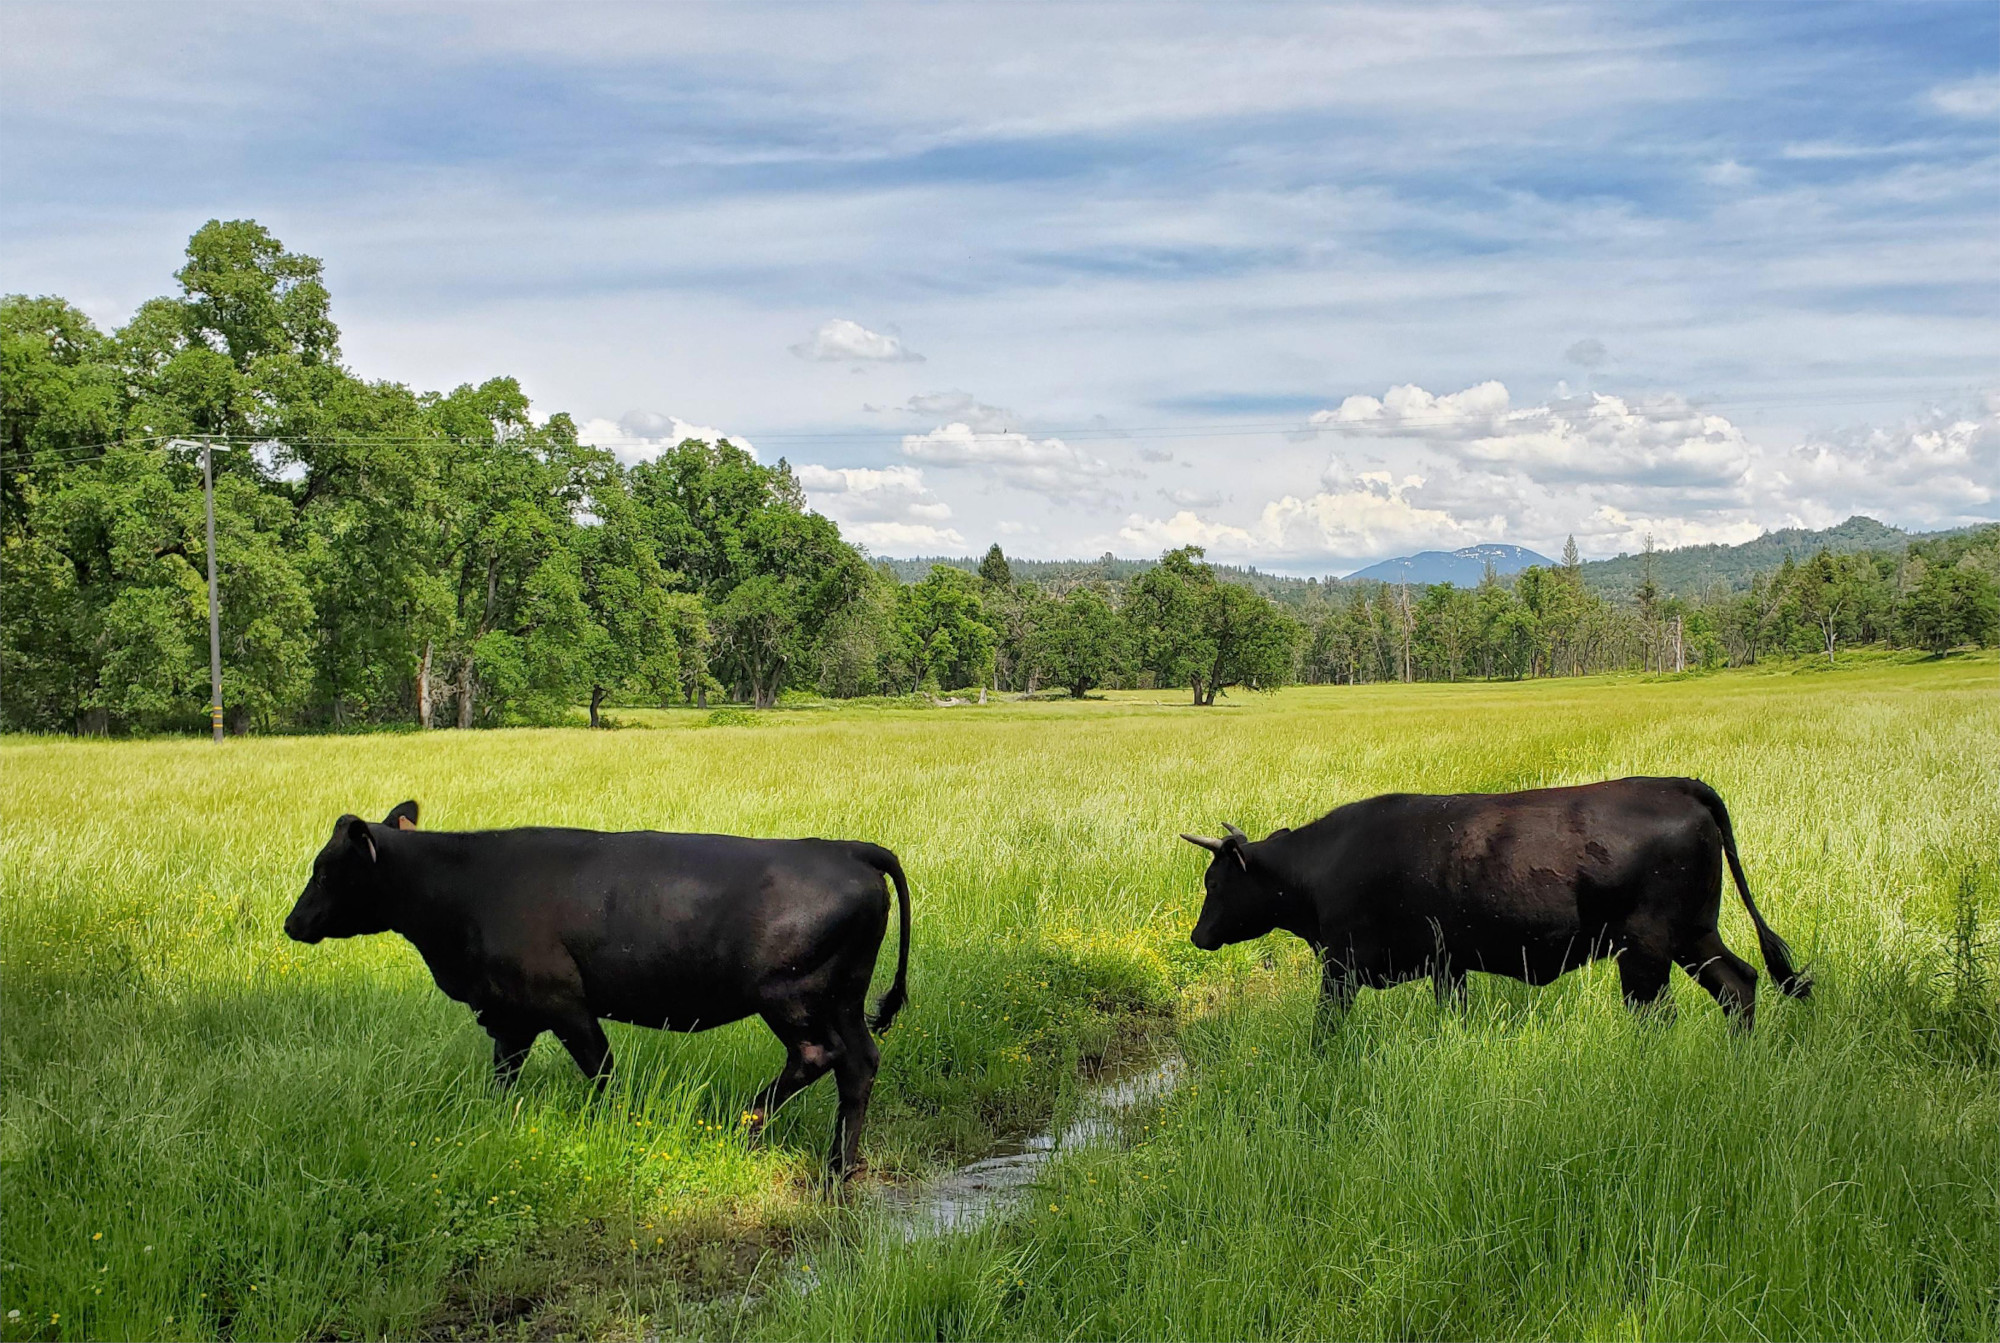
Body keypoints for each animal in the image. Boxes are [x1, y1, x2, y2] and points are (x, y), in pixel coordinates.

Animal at [282, 803, 908, 1167]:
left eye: (324, 870)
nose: (291, 923)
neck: (464, 888)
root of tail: (843, 848)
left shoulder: (564, 1003)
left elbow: (601, 1070)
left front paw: (618, 1126)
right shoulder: (512, 1014)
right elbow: (503, 1075)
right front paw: (493, 1125)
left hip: (791, 997)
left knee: (817, 1055)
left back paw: (746, 1127)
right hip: (844, 998)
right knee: (859, 1063)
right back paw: (838, 1166)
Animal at [1184, 775, 1816, 1031]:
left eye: (1215, 883)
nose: (1197, 935)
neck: (1321, 866)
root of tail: (1677, 784)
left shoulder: (1340, 967)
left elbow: (1325, 1029)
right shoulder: (1449, 964)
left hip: (1646, 950)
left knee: (1659, 1015)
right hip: (1693, 934)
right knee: (1739, 984)